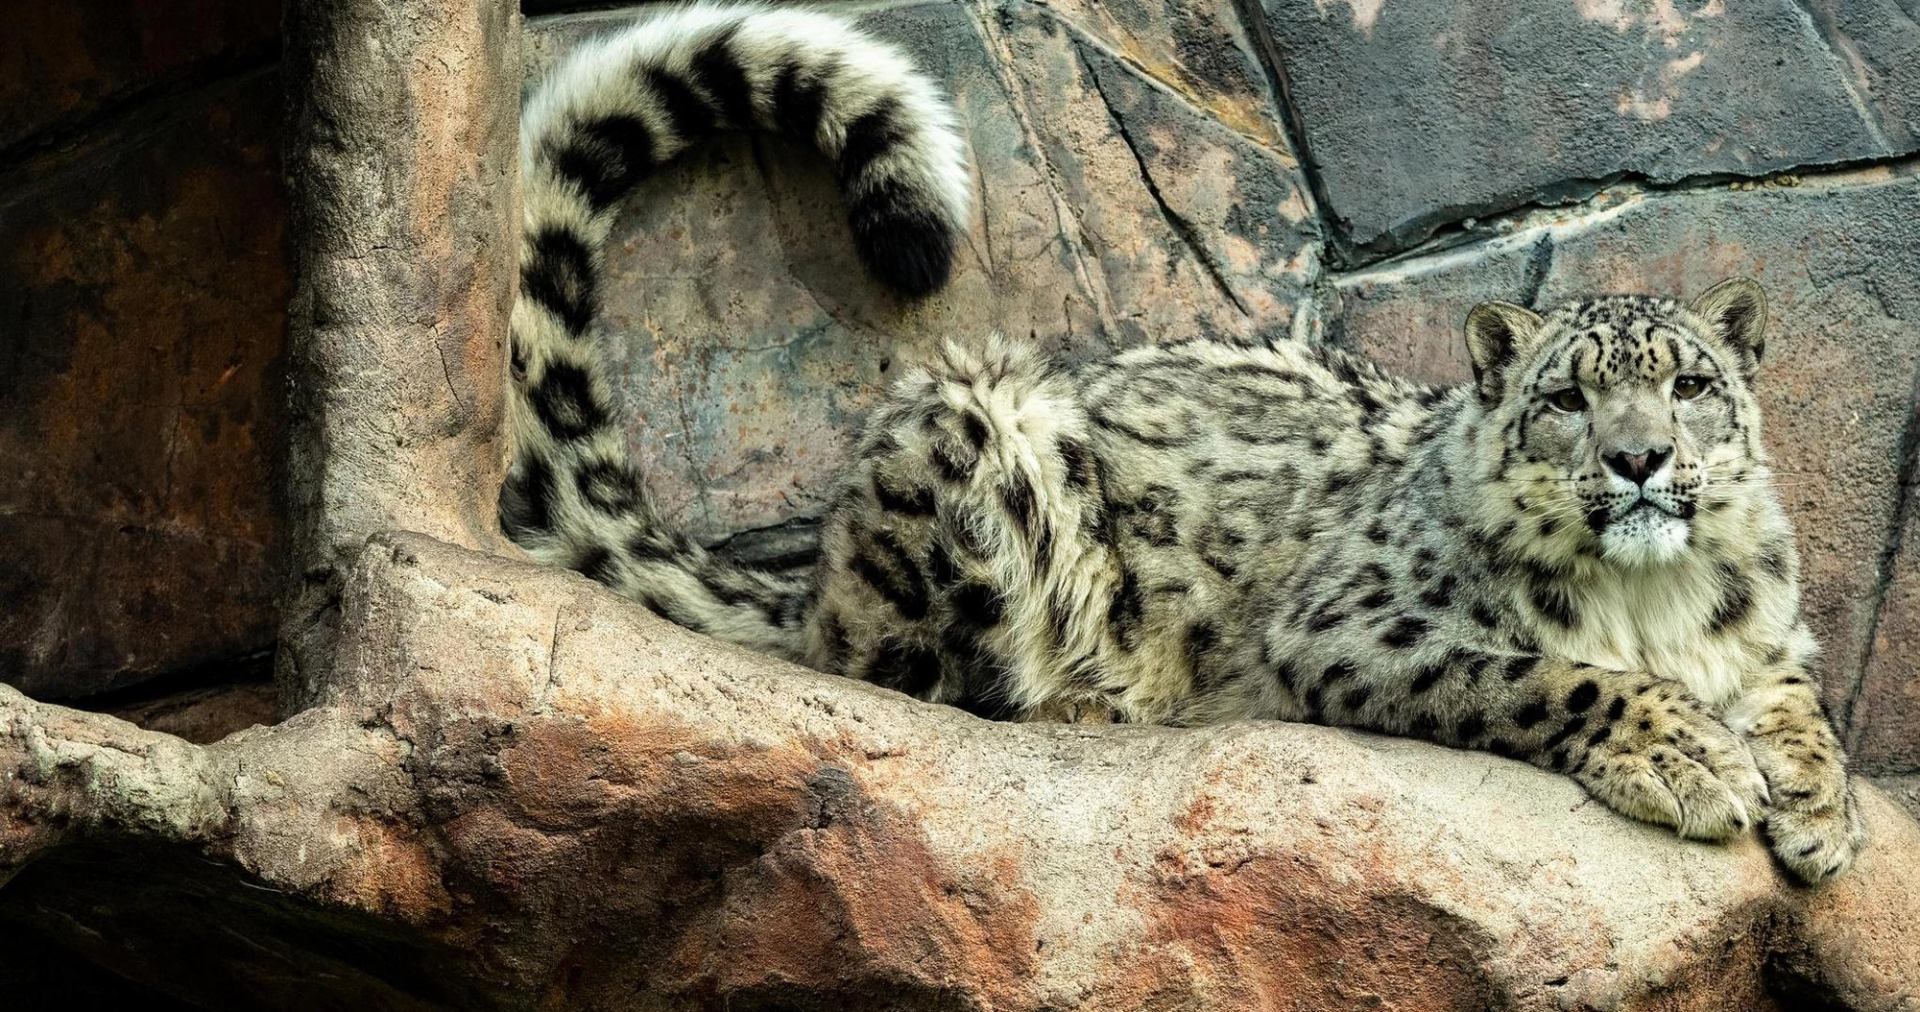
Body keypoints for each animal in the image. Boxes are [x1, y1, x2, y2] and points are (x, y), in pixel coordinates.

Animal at [503, 2, 1864, 883]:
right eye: (1568, 398)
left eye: (1691, 384)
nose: (1639, 461)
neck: (1656, 599)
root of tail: (824, 564)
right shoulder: (1358, 625)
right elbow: (1547, 673)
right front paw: (1693, 760)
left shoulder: (1770, 634)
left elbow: (1803, 702)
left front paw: (1818, 807)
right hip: (977, 437)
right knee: (891, 672)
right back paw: (1088, 699)